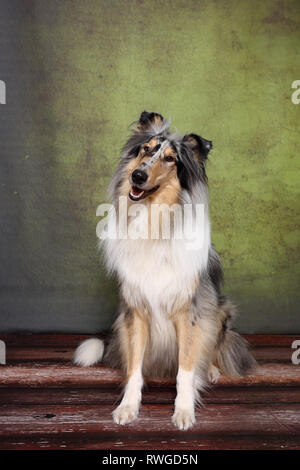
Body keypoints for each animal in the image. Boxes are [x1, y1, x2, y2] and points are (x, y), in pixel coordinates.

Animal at [74, 110, 254, 430]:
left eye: (170, 159)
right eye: (145, 150)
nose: (138, 175)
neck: (154, 223)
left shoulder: (190, 312)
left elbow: (186, 370)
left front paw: (183, 411)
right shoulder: (135, 310)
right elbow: (134, 369)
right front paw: (128, 407)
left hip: (220, 310)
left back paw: (210, 370)